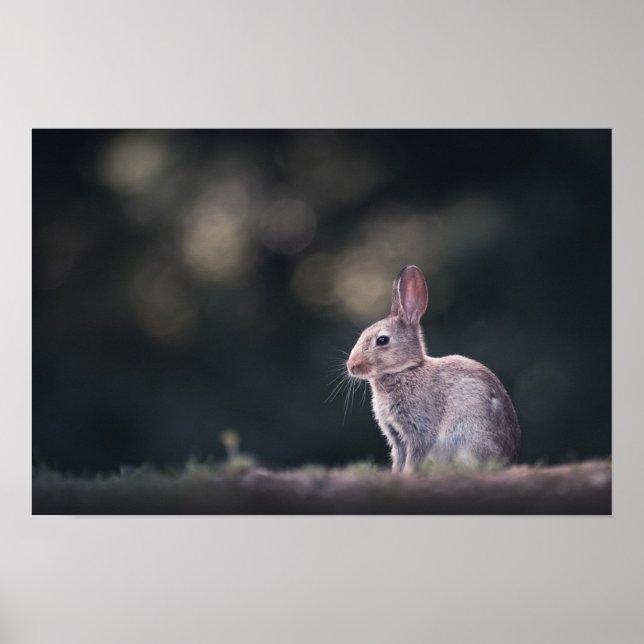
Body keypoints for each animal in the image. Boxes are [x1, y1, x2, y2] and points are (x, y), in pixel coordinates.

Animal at [346, 265, 520, 473]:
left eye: (382, 340)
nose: (351, 366)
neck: (406, 369)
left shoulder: (419, 428)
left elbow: (415, 455)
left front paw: (408, 474)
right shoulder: (397, 437)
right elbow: (399, 458)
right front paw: (397, 474)